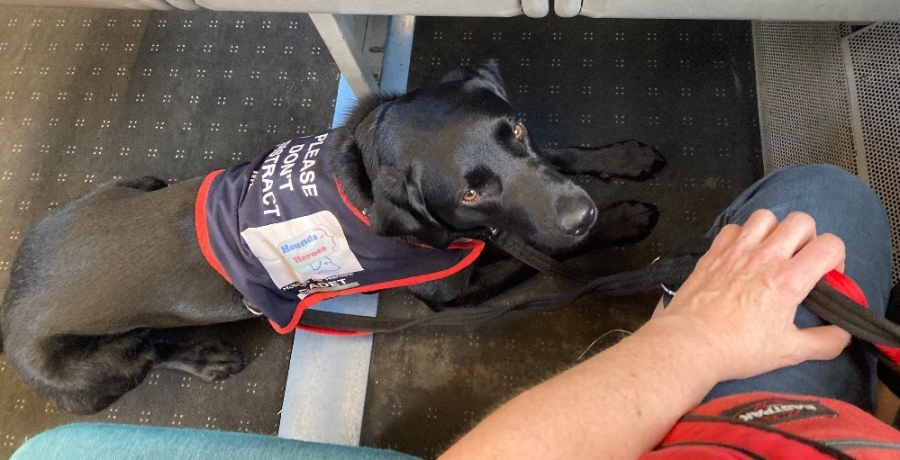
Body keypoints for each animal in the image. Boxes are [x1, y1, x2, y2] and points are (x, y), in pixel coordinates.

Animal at [0, 59, 660, 416]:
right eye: (470, 193)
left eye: (517, 128)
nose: (582, 213)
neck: (363, 169)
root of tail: (11, 301)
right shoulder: (450, 288)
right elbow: (537, 250)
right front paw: (622, 222)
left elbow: (562, 154)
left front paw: (624, 160)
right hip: (93, 372)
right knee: (150, 350)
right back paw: (208, 357)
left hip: (137, 181)